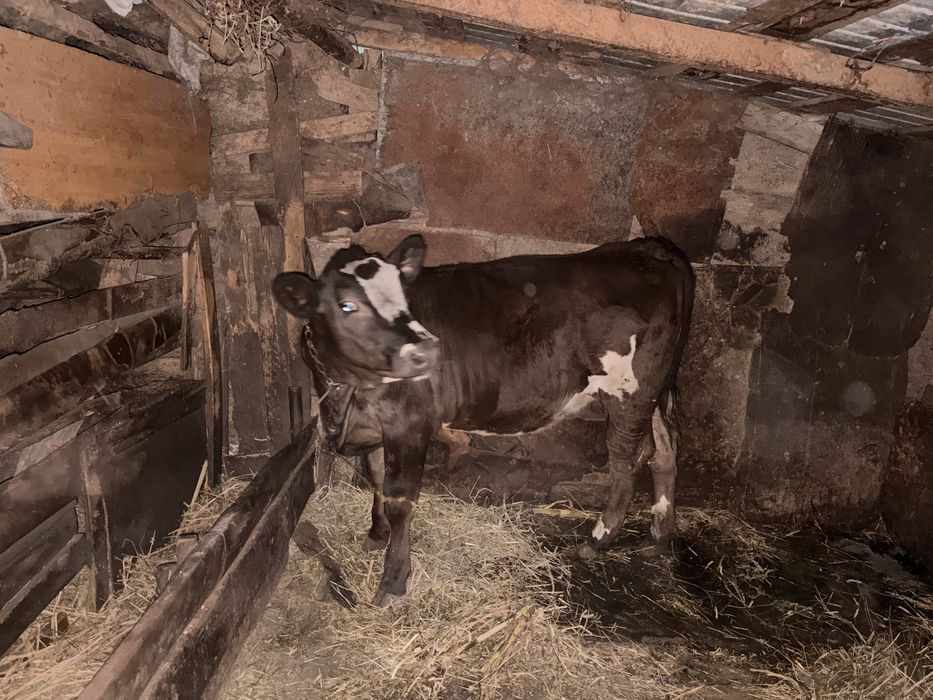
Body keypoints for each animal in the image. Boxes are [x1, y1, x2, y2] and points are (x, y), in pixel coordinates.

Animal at [273, 234, 695, 605]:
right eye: (347, 306)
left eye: (402, 294)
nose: (426, 350)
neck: (349, 390)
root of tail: (646, 247)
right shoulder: (376, 425)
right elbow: (374, 477)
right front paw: (375, 535)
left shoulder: (409, 424)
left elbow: (398, 498)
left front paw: (392, 581)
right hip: (654, 393)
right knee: (664, 451)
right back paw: (659, 536)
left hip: (629, 391)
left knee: (628, 459)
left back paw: (598, 539)